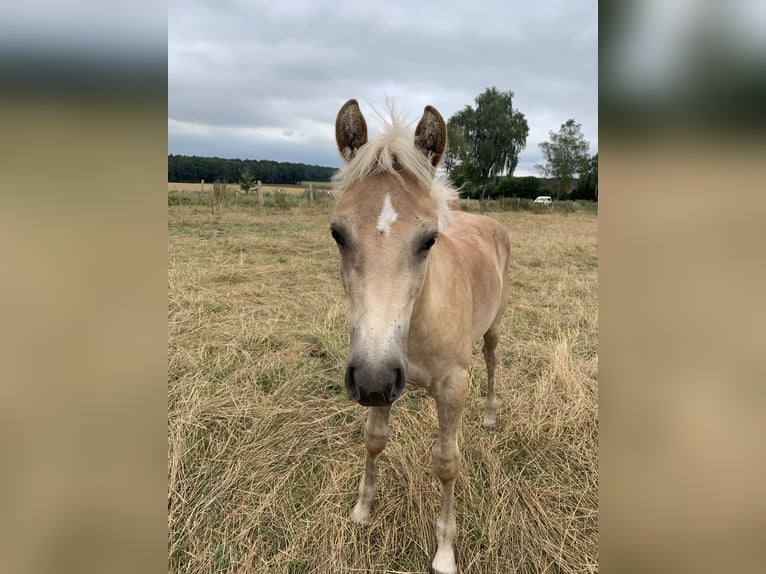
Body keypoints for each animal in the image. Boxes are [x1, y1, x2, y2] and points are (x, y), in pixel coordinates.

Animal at [330, 101, 510, 574]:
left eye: (429, 239)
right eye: (337, 233)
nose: (373, 378)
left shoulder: (452, 386)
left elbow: (446, 463)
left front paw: (445, 552)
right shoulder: (379, 376)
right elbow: (374, 439)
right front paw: (362, 510)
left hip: (493, 329)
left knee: (492, 360)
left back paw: (490, 416)